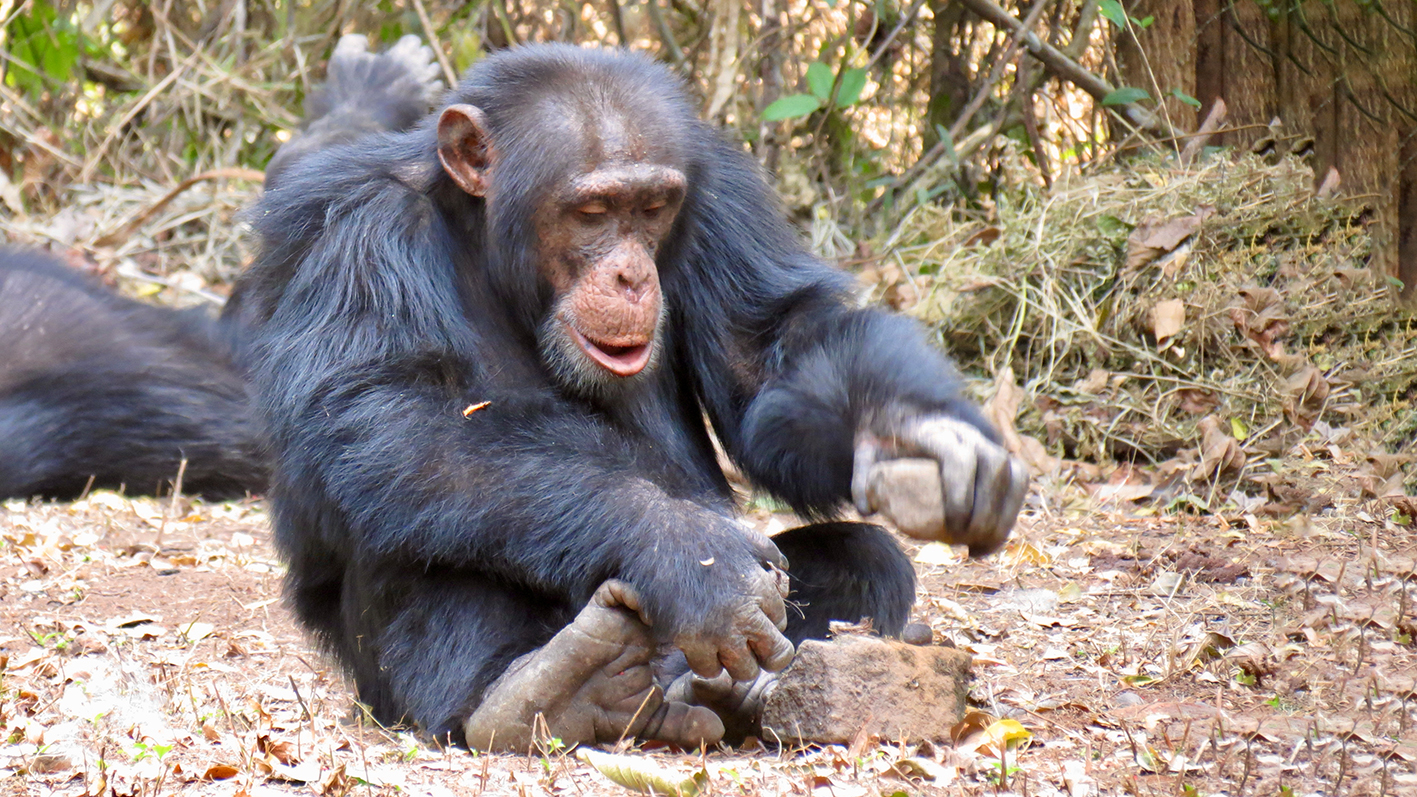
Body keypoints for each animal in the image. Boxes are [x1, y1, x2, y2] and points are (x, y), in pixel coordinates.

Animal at [235, 43, 1031, 748]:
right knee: (413, 496)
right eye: (591, 211)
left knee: (866, 558)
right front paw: (686, 555)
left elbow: (769, 352)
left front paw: (920, 437)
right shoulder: (361, 233)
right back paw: (549, 690)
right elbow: (382, 411)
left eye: (652, 206)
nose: (629, 275)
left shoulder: (717, 199)